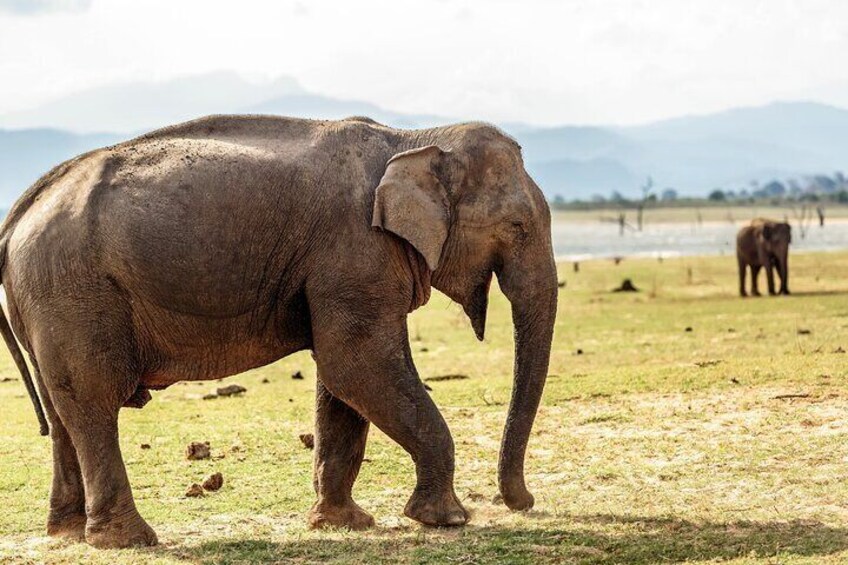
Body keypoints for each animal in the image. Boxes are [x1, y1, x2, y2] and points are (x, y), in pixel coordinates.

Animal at [0, 114, 556, 548]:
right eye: (518, 226)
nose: (524, 502)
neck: (414, 137)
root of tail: (19, 213)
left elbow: (343, 382)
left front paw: (343, 524)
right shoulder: (356, 249)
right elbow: (357, 363)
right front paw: (446, 521)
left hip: (48, 300)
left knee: (62, 409)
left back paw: (68, 534)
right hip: (72, 291)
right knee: (92, 403)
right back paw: (129, 540)